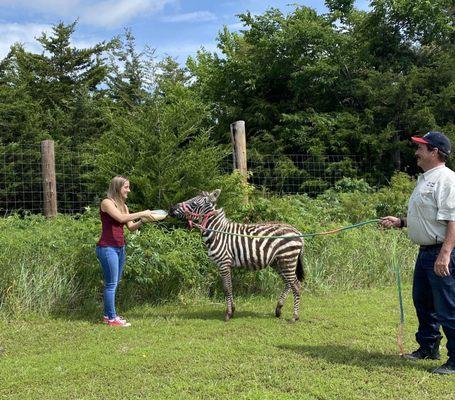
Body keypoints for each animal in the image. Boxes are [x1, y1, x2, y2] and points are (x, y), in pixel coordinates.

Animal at [171, 190, 306, 322]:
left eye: (193, 203)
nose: (171, 208)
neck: (217, 233)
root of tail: (297, 232)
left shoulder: (224, 263)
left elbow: (227, 288)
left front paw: (228, 313)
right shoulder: (225, 265)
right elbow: (229, 287)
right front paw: (233, 310)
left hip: (287, 259)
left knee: (296, 285)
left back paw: (294, 316)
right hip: (278, 263)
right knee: (288, 283)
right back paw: (278, 308)